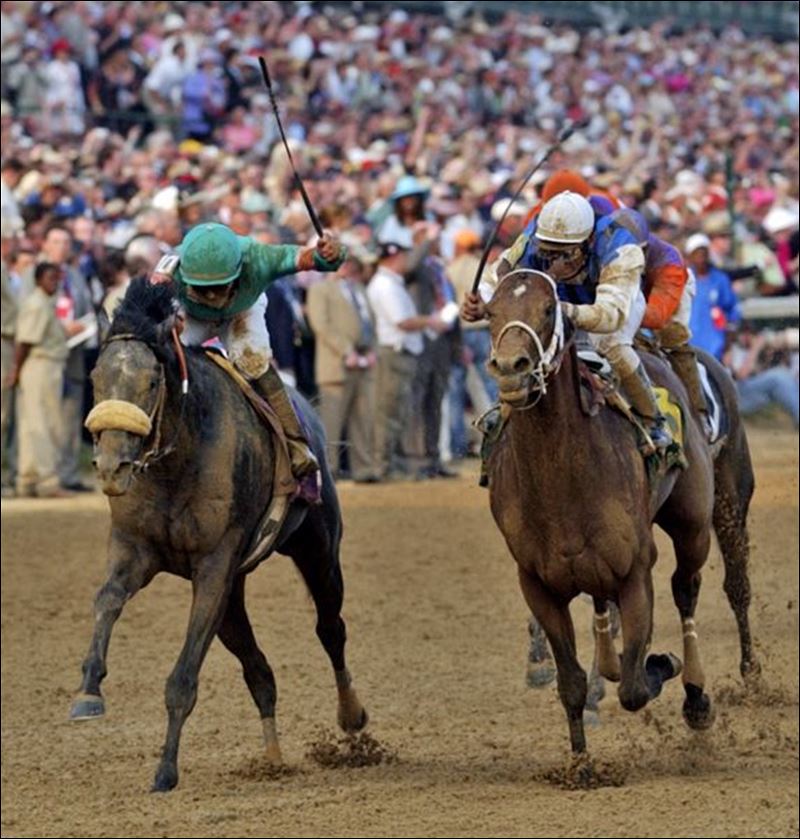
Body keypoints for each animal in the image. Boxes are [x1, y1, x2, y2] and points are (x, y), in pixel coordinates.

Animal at [69, 278, 368, 792]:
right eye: (95, 378)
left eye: (152, 382)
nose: (110, 467)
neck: (176, 462)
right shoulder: (135, 548)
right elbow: (106, 598)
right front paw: (89, 691)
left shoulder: (214, 565)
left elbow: (182, 679)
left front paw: (166, 770)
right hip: (234, 594)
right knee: (258, 669)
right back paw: (272, 756)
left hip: (318, 549)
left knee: (331, 628)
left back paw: (350, 717)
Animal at [482, 270, 756, 760]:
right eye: (491, 310)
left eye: (548, 310)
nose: (511, 367)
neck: (560, 477)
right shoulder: (538, 583)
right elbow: (571, 681)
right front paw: (580, 761)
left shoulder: (634, 570)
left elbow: (634, 685)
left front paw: (661, 663)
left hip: (707, 515)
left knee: (700, 587)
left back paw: (716, 689)